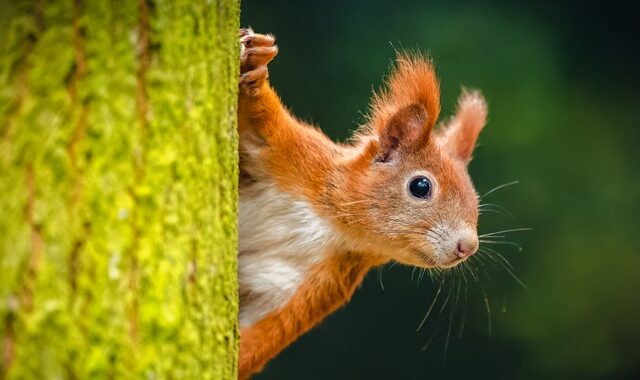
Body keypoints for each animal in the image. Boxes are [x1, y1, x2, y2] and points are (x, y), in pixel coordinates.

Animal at [238, 28, 488, 378]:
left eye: (475, 199)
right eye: (421, 186)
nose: (468, 246)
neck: (331, 225)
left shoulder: (314, 284)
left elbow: (263, 332)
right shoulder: (295, 156)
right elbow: (261, 121)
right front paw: (257, 67)